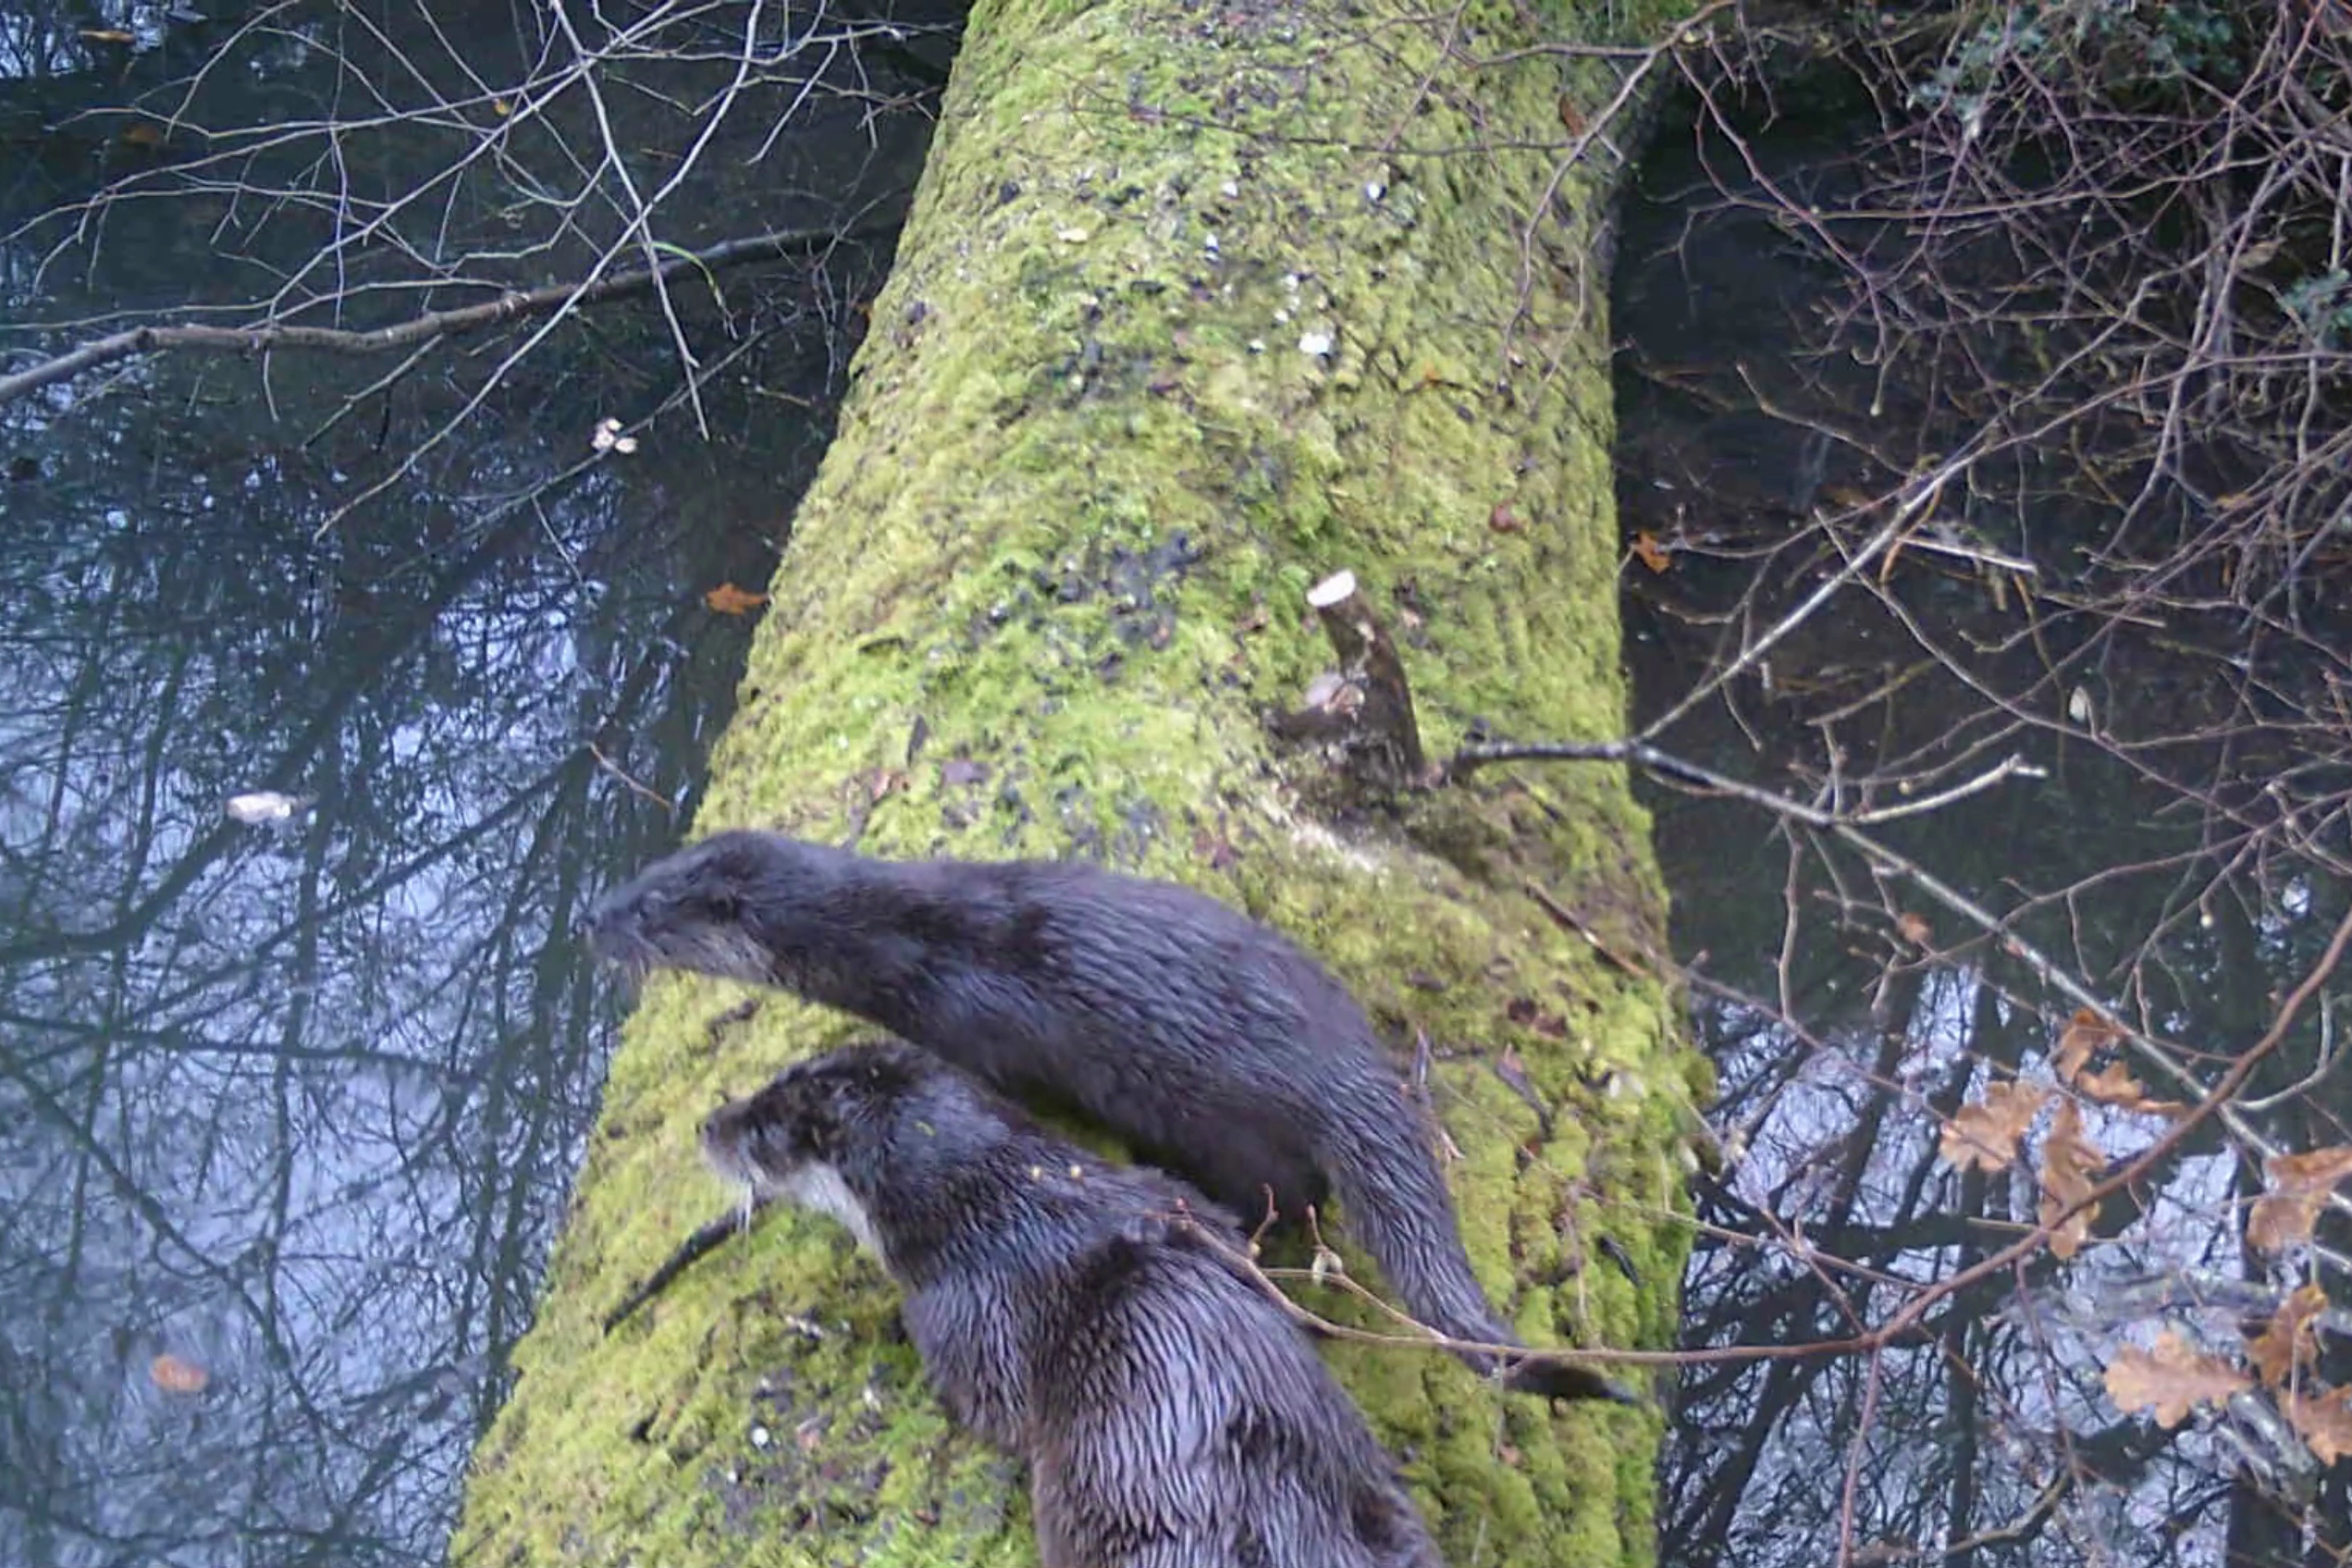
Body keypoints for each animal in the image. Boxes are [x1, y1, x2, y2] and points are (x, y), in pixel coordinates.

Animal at [584, 829, 1635, 1406]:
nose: (595, 913)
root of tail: (1349, 1074)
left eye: (652, 908)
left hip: (1234, 1130)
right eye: (643, 872)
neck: (901, 945)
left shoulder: (972, 1032)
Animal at [703, 1042, 1444, 1568]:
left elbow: (991, 1410)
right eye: (772, 1080)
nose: (708, 1124)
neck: (999, 1210)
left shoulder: (962, 1319)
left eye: (761, 1132)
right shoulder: (1175, 1198)